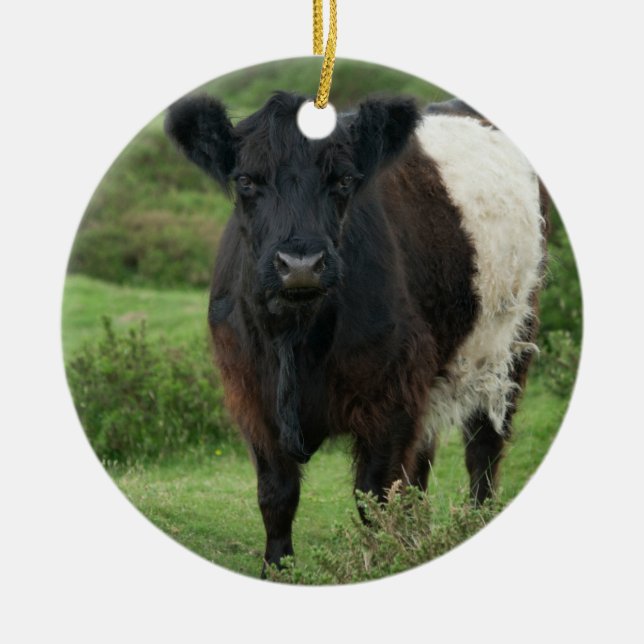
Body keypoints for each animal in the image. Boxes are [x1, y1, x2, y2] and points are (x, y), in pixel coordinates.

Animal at [165, 91, 547, 576]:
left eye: (344, 180)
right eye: (246, 181)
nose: (301, 264)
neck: (296, 337)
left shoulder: (392, 395)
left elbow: (375, 496)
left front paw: (381, 564)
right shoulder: (250, 393)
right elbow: (276, 493)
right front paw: (279, 570)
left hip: (509, 343)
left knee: (484, 447)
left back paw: (471, 523)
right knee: (422, 464)